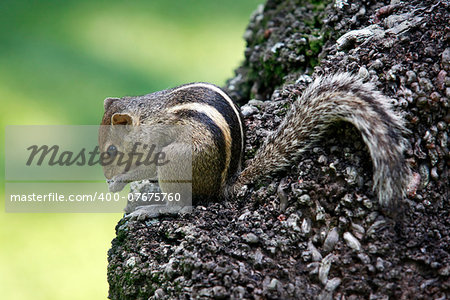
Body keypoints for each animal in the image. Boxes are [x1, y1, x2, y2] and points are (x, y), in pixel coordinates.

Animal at [99, 72, 412, 216]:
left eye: (112, 150)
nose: (106, 177)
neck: (146, 116)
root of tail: (223, 185)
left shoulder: (157, 143)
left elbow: (144, 167)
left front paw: (118, 181)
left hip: (176, 160)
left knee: (183, 207)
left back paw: (154, 208)